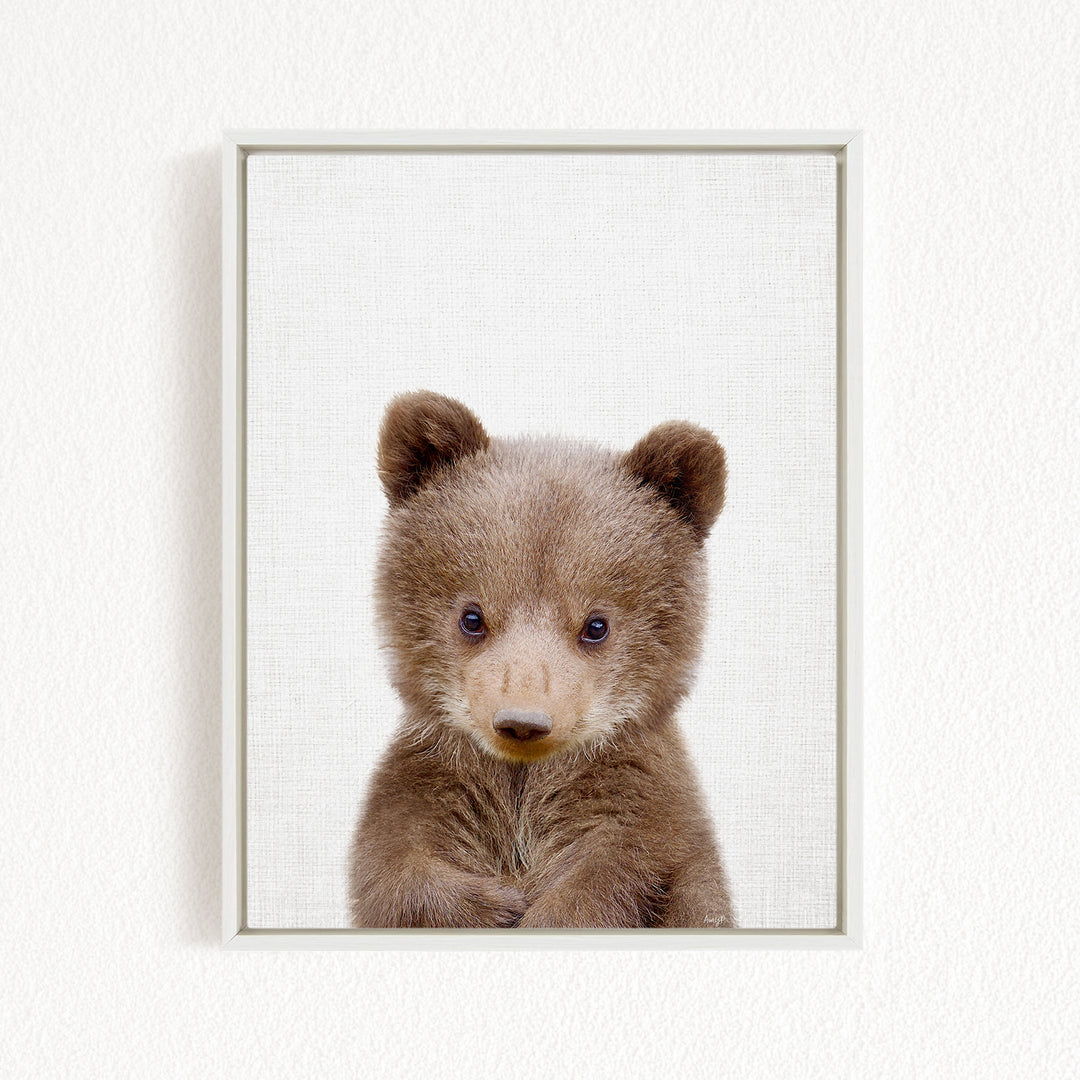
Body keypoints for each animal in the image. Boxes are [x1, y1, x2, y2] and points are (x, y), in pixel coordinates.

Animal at [348, 390, 735, 929]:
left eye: (596, 625)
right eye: (472, 617)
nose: (522, 721)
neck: (522, 782)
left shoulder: (640, 807)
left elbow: (619, 873)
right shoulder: (429, 784)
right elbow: (394, 869)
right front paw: (497, 906)